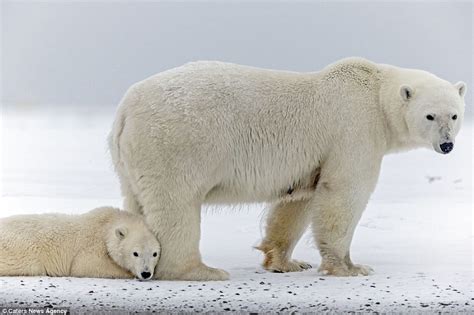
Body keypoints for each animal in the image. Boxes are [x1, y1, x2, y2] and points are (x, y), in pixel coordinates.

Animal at [0, 209, 161, 280]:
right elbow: (85, 265)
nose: (146, 273)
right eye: (135, 253)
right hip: (22, 248)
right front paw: (128, 272)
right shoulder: (92, 245)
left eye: (155, 253)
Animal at [108, 57, 466, 282]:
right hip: (177, 143)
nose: (447, 145)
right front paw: (350, 267)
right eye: (430, 116)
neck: (374, 92)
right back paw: (199, 271)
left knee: (135, 201)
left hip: (130, 159)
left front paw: (286, 262)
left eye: (454, 114)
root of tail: (126, 107)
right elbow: (343, 192)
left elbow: (298, 202)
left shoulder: (311, 161)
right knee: (177, 203)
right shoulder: (354, 129)